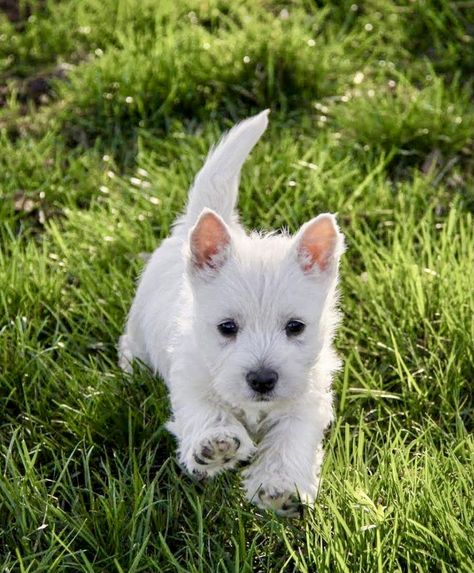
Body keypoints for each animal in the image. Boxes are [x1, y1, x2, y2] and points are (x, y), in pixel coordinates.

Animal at [118, 109, 344, 516]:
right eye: (227, 327)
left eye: (295, 327)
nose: (262, 379)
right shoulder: (191, 379)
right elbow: (206, 409)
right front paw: (215, 444)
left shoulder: (306, 402)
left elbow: (290, 440)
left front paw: (279, 486)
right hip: (139, 326)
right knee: (130, 344)